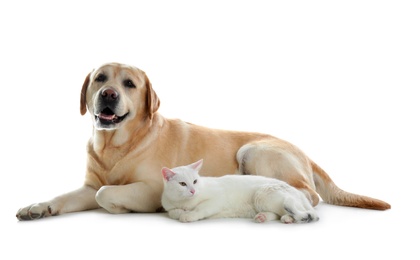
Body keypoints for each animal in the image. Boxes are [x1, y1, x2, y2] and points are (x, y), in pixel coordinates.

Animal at [161, 158, 318, 223]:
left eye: (195, 181)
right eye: (182, 184)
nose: (193, 191)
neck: (184, 202)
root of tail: (297, 191)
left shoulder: (216, 200)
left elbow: (200, 209)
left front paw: (188, 215)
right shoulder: (168, 206)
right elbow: (173, 212)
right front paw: (181, 212)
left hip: (263, 194)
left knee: (297, 211)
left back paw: (289, 218)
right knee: (279, 213)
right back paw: (265, 217)